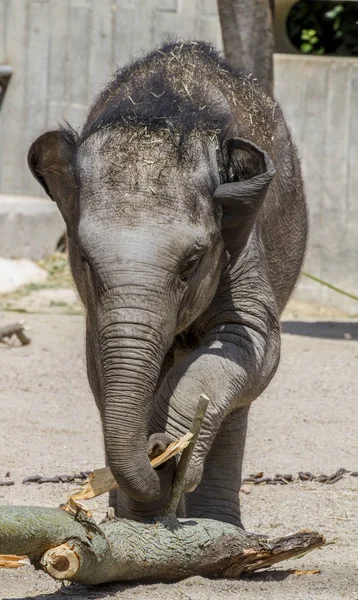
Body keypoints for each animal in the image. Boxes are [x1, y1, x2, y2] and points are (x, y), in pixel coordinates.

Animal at [28, 41, 308, 524]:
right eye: (84, 259)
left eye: (191, 263)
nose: (155, 447)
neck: (162, 110)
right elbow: (101, 364)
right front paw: (141, 515)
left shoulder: (242, 241)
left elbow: (250, 339)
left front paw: (170, 449)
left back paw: (219, 524)